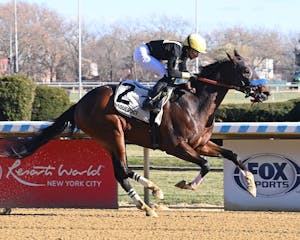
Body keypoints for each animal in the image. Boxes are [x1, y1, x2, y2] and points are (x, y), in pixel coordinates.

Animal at [0, 49, 270, 217]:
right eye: (246, 71)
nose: (265, 92)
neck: (194, 101)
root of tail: (81, 102)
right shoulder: (176, 146)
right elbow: (204, 165)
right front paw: (185, 184)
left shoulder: (201, 144)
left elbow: (233, 155)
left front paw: (251, 185)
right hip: (113, 133)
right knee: (123, 169)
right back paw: (150, 196)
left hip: (108, 139)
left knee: (121, 172)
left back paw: (147, 201)